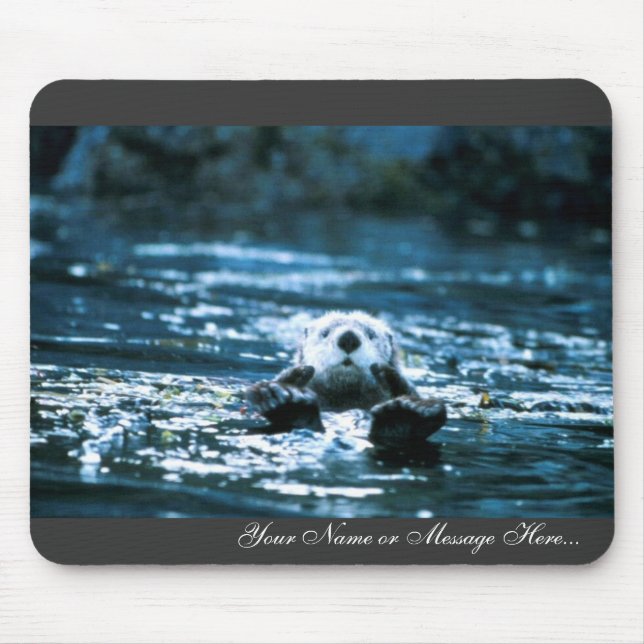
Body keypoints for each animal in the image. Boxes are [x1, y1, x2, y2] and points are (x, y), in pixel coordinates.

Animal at [246, 311, 446, 449]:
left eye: (371, 334)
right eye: (325, 333)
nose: (349, 338)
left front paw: (389, 374)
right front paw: (296, 376)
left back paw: (406, 413)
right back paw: (283, 398)